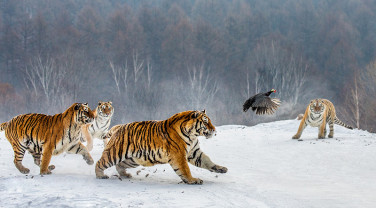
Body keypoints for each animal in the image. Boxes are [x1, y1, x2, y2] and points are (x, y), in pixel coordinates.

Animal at [95, 109, 228, 184]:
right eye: (205, 121)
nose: (214, 129)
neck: (193, 135)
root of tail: (118, 126)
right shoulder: (178, 155)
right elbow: (185, 169)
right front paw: (193, 180)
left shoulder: (194, 153)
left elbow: (207, 161)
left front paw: (221, 169)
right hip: (114, 153)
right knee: (100, 162)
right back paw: (100, 176)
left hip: (134, 159)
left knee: (119, 165)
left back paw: (125, 175)